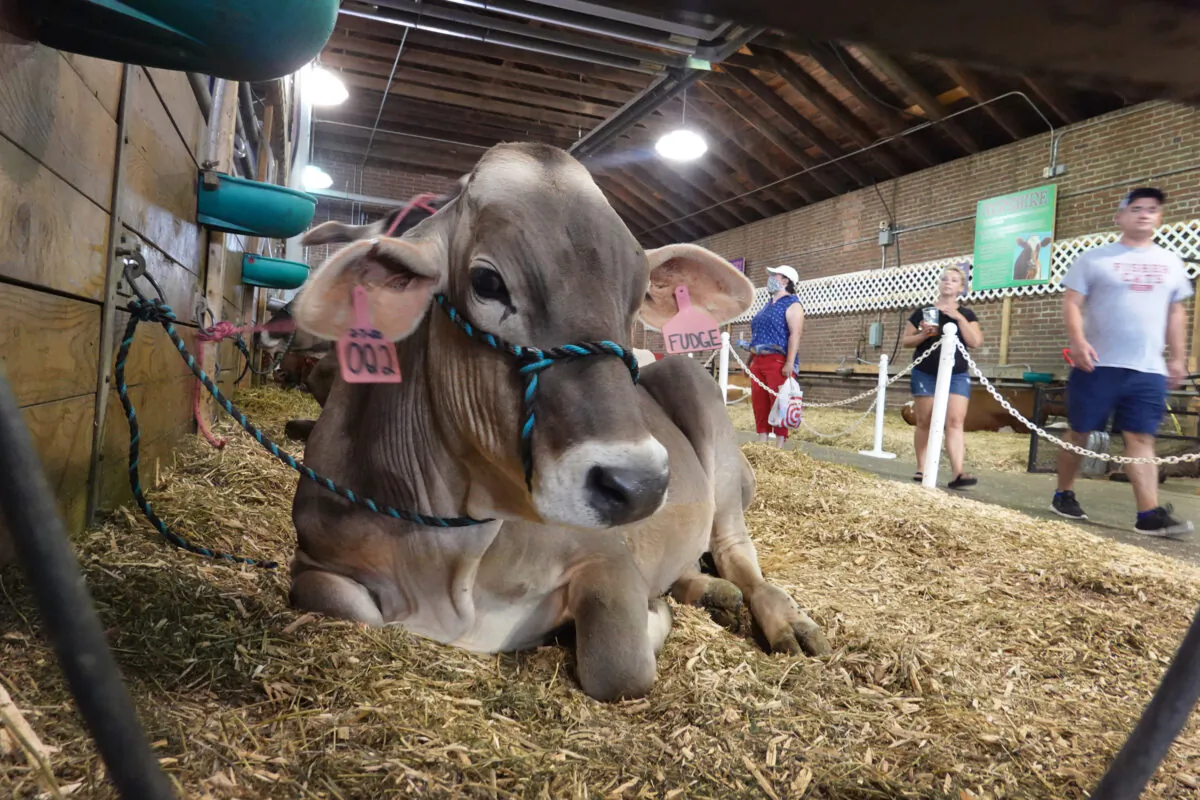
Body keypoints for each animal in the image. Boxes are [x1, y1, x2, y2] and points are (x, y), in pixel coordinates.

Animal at [284, 142, 831, 702]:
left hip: (701, 415)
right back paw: (705, 588)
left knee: (737, 553)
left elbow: (619, 667)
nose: (639, 486)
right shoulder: (314, 558)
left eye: (636, 297)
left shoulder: (607, 556)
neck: (450, 558)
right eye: (486, 281)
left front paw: (652, 614)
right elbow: (335, 600)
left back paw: (786, 621)